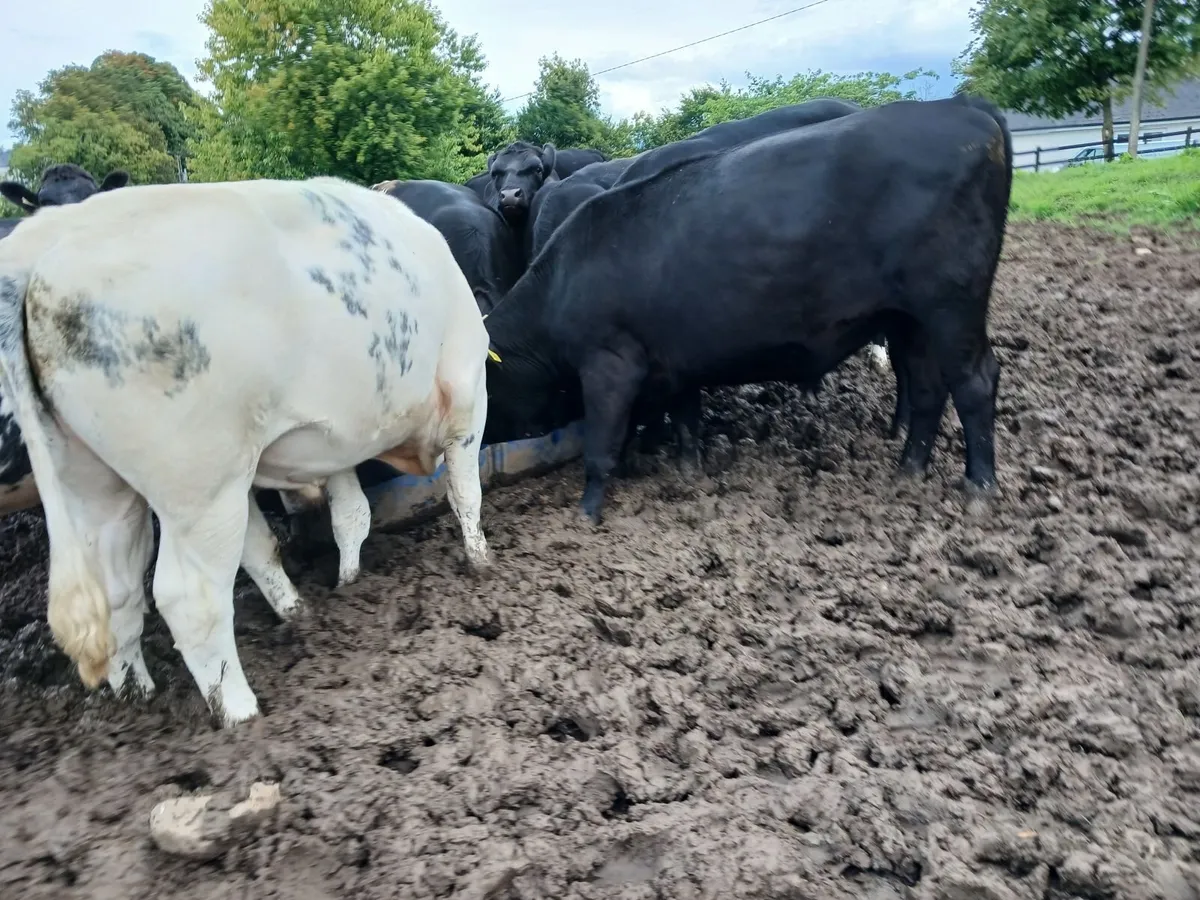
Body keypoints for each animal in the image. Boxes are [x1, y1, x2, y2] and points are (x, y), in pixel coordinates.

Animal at [480, 94, 1014, 524]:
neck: (564, 281)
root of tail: (964, 106)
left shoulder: (609, 365)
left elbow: (602, 447)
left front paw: (587, 511)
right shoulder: (675, 360)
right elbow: (686, 421)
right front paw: (688, 473)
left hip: (951, 307)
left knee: (975, 382)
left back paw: (978, 488)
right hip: (910, 320)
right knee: (926, 388)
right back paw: (908, 471)